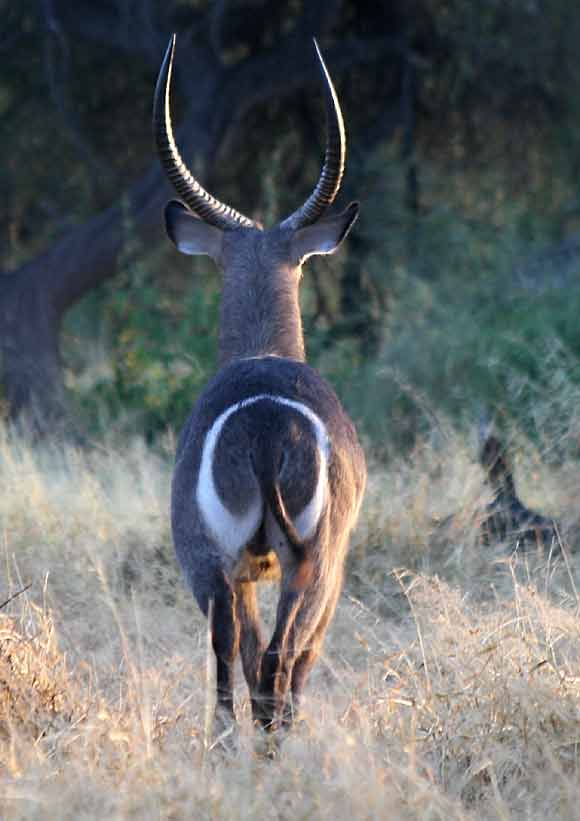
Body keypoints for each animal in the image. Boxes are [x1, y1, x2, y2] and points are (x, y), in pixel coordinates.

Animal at [154, 36, 368, 732]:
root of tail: (269, 428)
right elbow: (292, 658)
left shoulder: (240, 569)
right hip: (312, 563)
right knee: (281, 658)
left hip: (215, 564)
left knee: (232, 655)